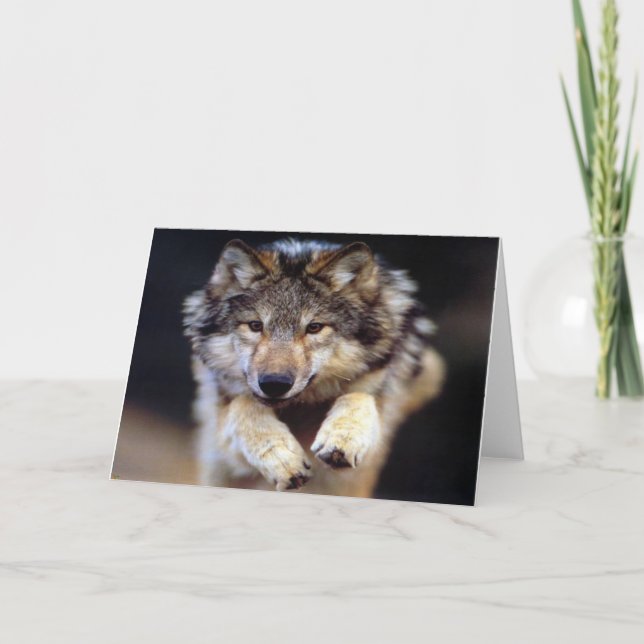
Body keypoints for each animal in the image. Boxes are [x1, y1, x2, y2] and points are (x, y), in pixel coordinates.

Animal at [183, 238, 445, 498]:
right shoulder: (222, 442)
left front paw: (343, 438)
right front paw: (282, 459)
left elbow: (359, 396)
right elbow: (244, 404)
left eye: (314, 327)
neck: (298, 407)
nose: (274, 384)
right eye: (255, 325)